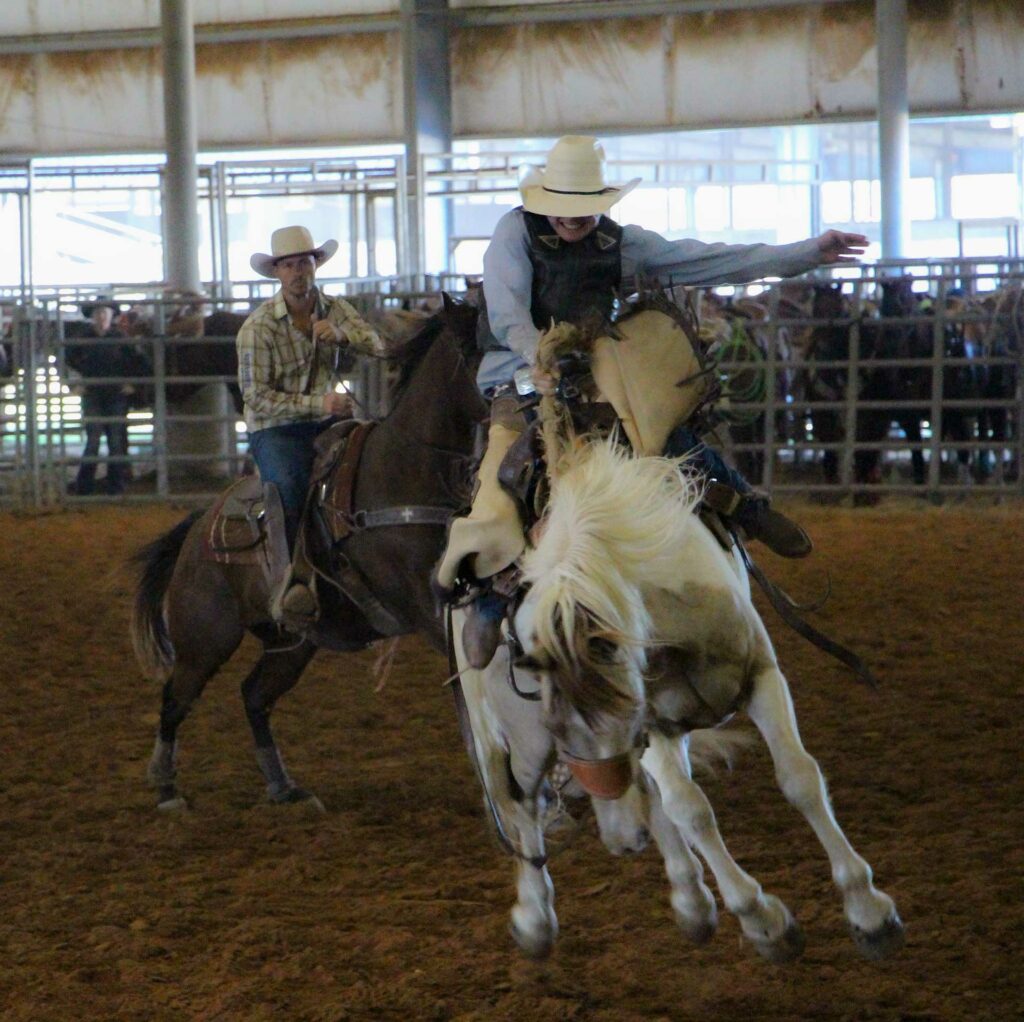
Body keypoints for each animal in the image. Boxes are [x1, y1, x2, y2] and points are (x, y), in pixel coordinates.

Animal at [131, 299, 487, 811]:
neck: (403, 471)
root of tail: (199, 529)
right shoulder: (426, 604)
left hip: (292, 643)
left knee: (254, 695)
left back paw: (284, 787)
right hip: (205, 640)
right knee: (175, 698)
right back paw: (165, 787)